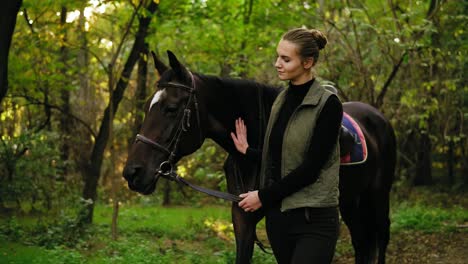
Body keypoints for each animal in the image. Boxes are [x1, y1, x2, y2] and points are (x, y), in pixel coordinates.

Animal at [121, 51, 394, 264]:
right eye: (148, 107)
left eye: (171, 109)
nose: (132, 172)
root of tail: (377, 117)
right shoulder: (242, 218)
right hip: (351, 201)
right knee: (361, 243)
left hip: (378, 197)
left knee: (380, 238)